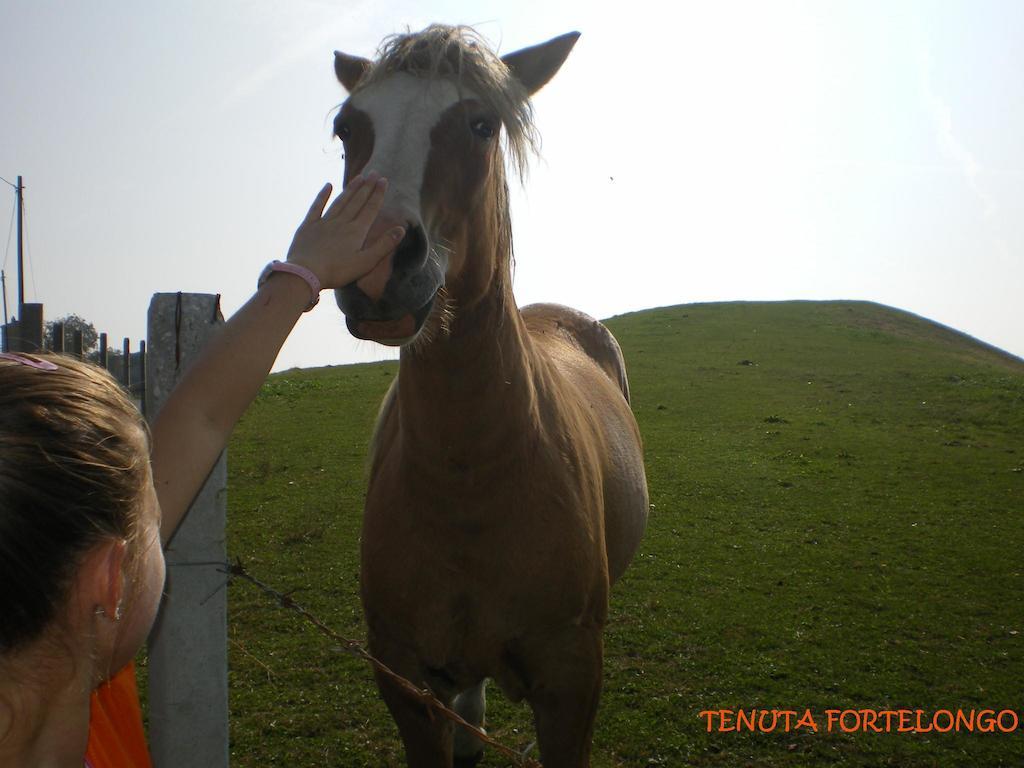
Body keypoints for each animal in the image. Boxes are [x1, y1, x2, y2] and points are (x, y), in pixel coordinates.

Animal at [327, 25, 647, 768]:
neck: (469, 479)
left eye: (481, 124)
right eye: (346, 127)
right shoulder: (406, 681)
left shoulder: (571, 683)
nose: (375, 264)